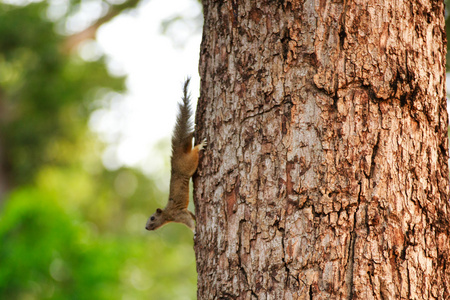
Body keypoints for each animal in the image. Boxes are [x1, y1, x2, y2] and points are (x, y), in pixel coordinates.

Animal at [145, 78, 207, 232]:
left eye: (152, 218)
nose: (146, 227)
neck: (167, 214)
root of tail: (177, 155)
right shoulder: (184, 212)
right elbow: (191, 215)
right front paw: (196, 219)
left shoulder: (178, 215)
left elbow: (189, 223)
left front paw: (195, 231)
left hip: (188, 164)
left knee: (194, 153)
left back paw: (199, 146)